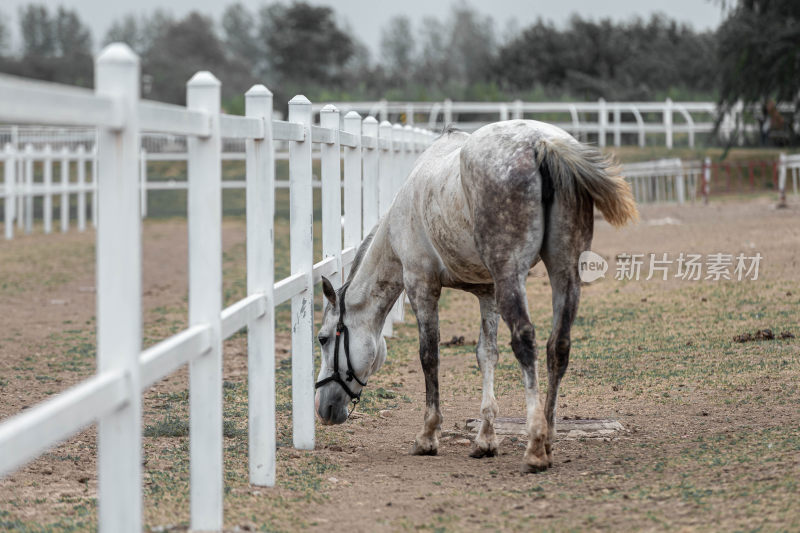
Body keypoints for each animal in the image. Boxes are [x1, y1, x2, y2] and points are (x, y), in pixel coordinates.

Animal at [316, 119, 636, 470]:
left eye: (322, 338)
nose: (323, 408)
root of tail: (542, 143)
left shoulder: (421, 285)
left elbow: (429, 356)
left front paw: (428, 436)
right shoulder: (488, 293)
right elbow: (487, 355)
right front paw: (485, 439)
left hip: (512, 275)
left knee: (526, 341)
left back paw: (536, 446)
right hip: (565, 271)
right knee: (558, 346)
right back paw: (549, 437)